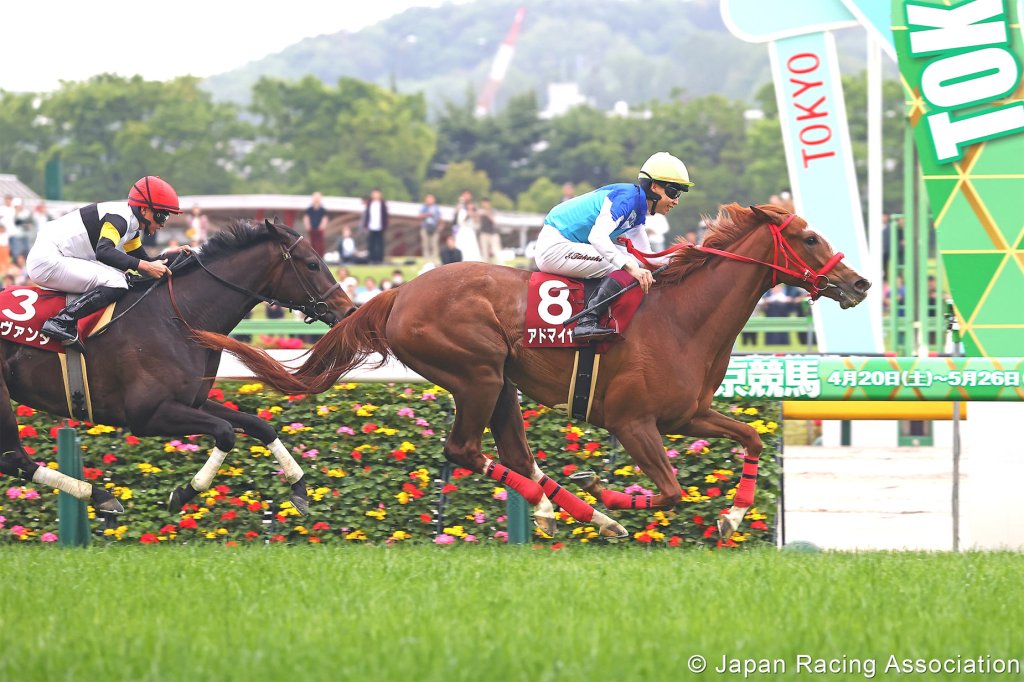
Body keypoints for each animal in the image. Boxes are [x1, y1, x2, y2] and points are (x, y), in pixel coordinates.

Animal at [0, 219, 356, 517]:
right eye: (312, 264)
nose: (349, 310)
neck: (178, 316)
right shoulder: (146, 414)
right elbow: (226, 433)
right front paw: (184, 493)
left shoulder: (192, 401)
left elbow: (260, 426)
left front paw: (299, 489)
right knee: (14, 457)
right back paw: (101, 495)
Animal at [194, 204, 870, 539]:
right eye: (809, 237)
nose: (860, 282)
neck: (682, 318)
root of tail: (399, 292)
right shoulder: (633, 423)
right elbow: (674, 490)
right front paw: (613, 493)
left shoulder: (689, 413)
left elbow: (751, 435)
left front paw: (732, 513)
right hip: (477, 374)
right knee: (465, 450)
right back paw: (581, 509)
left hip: (501, 382)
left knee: (516, 456)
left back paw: (569, 510)